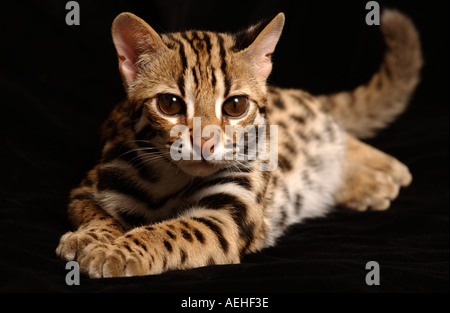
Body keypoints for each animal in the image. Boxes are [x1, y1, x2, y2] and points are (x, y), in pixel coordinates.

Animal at [56, 10, 422, 278]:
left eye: (235, 106)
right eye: (170, 104)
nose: (204, 143)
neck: (169, 179)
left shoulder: (228, 214)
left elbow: (171, 231)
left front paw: (116, 251)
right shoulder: (87, 186)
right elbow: (99, 216)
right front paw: (91, 238)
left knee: (334, 130)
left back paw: (383, 172)